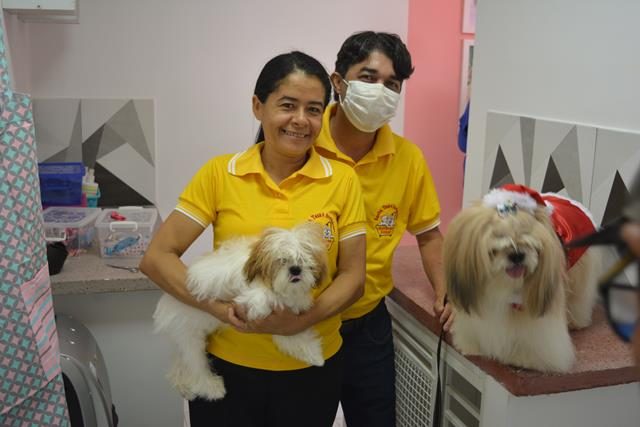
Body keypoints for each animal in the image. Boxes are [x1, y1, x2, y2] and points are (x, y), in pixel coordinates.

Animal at [153, 222, 328, 400]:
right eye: (281, 260)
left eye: (304, 259)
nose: (295, 269)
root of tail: (166, 301)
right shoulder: (250, 297)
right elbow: (261, 301)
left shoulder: (285, 321)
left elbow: (292, 336)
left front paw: (314, 355)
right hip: (188, 334)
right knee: (195, 363)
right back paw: (211, 388)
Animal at [444, 184, 602, 373]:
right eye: (499, 236)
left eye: (527, 236)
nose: (517, 255)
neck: (502, 285)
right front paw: (474, 346)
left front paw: (524, 359)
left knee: (579, 299)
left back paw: (576, 322)